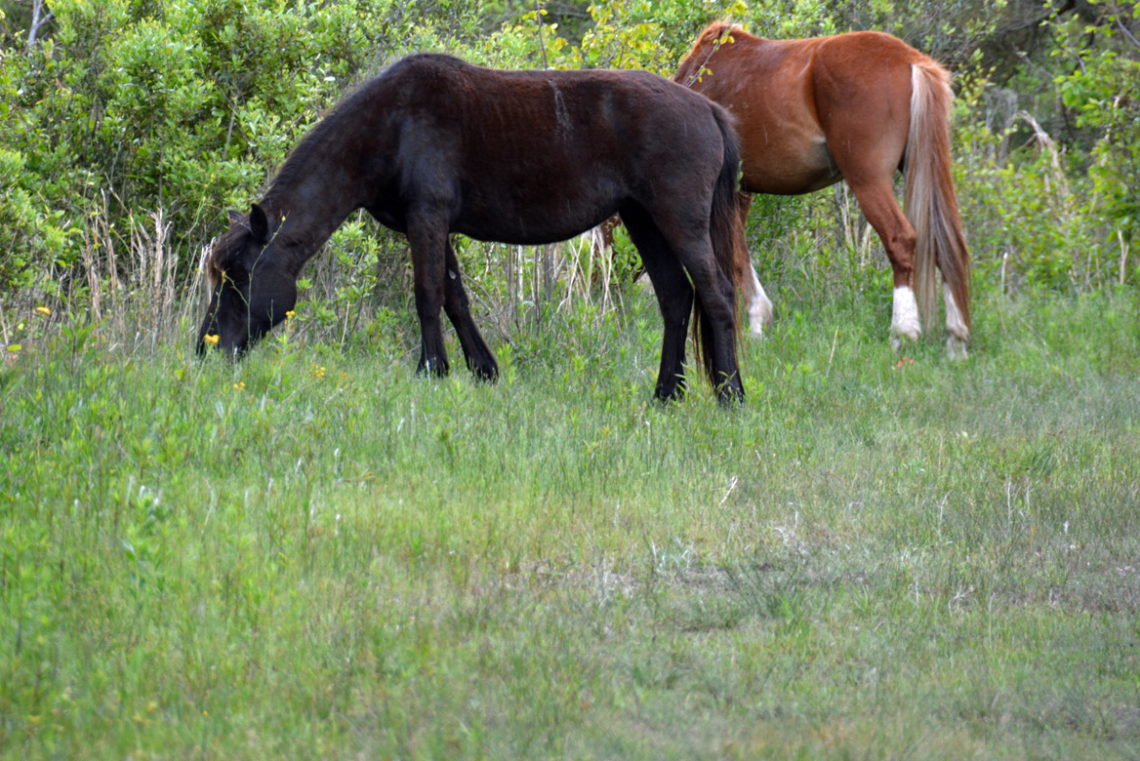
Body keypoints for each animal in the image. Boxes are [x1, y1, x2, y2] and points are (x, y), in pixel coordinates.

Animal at [196, 54, 747, 403]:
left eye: (238, 279)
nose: (207, 349)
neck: (390, 125)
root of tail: (709, 109)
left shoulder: (427, 217)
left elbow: (426, 294)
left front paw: (432, 370)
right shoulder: (430, 224)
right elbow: (454, 297)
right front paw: (482, 370)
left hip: (679, 220)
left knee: (716, 294)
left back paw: (731, 394)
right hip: (643, 220)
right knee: (676, 298)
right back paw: (666, 395)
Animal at [674, 22, 971, 357]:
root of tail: (910, 60)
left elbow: (734, 254)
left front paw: (755, 322)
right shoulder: (741, 191)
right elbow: (739, 251)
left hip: (868, 179)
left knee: (901, 239)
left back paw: (902, 332)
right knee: (946, 242)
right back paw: (956, 340)